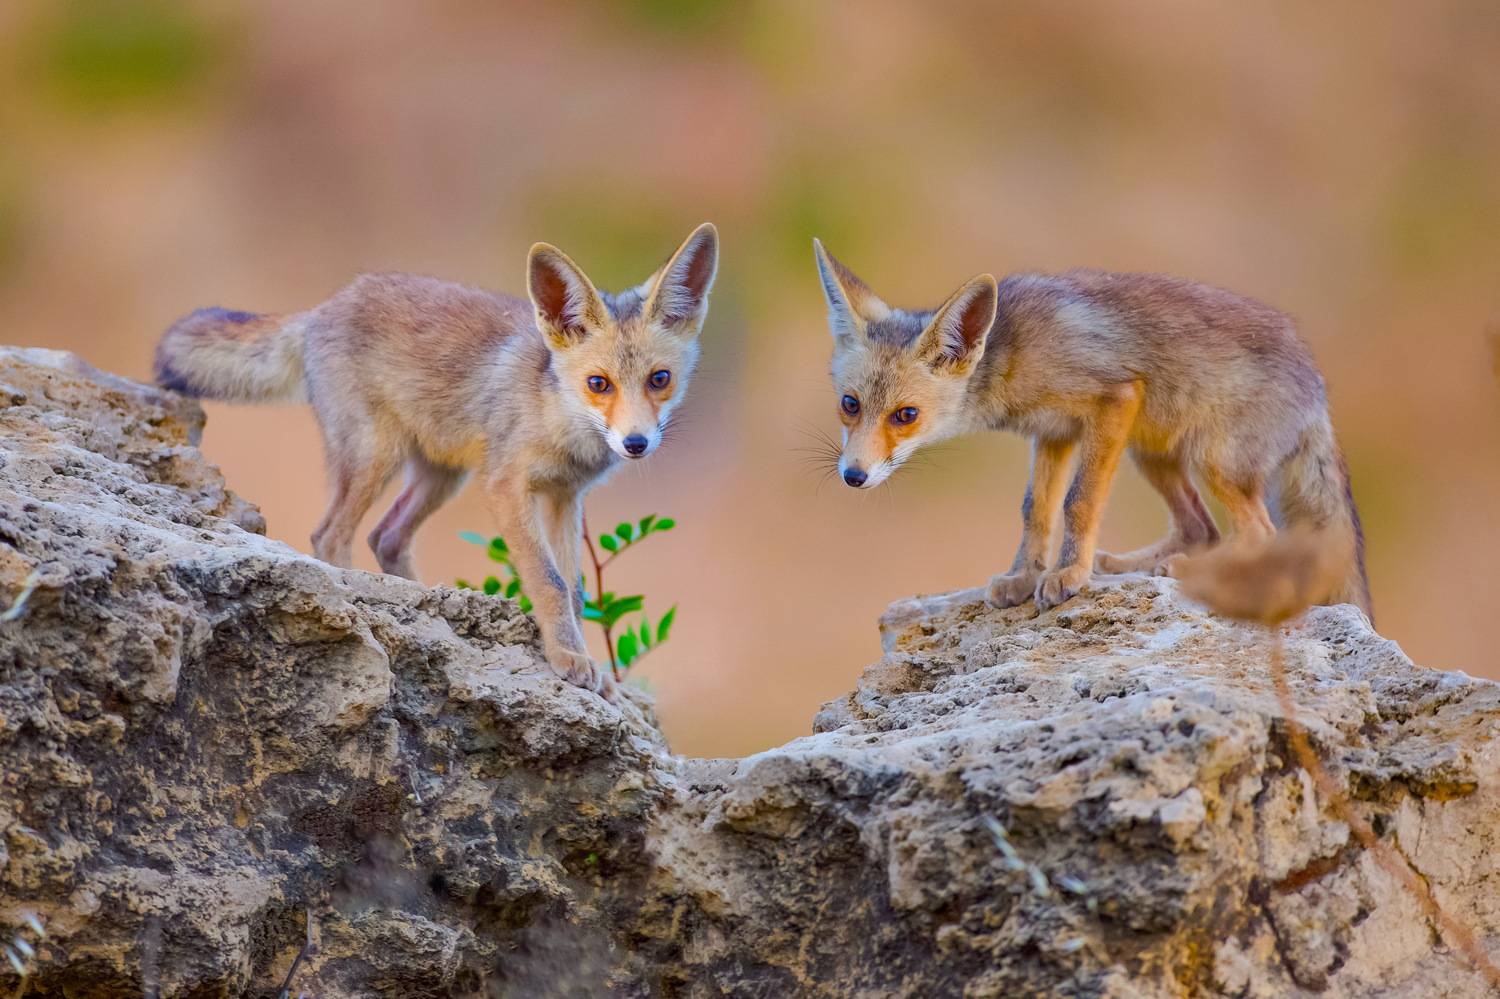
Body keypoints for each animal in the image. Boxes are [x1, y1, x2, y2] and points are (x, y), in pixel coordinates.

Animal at [154, 223, 720, 696]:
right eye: (598, 384)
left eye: (660, 379)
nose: (636, 443)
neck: (558, 416)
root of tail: (323, 307)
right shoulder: (506, 486)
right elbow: (550, 582)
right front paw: (568, 660)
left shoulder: (564, 497)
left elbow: (576, 590)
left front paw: (585, 662)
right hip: (377, 458)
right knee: (330, 534)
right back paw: (358, 607)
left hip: (440, 477)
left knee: (385, 535)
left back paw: (421, 601)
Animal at [811, 239, 1372, 619]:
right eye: (849, 404)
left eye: (905, 415)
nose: (854, 476)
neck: (1011, 352)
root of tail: (1317, 383)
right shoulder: (1054, 433)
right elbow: (1036, 510)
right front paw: (1024, 576)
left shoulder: (1112, 401)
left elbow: (1078, 502)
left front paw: (1068, 575)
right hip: (1153, 454)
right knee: (1201, 529)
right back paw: (1133, 564)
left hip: (1214, 463)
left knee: (1259, 534)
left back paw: (1188, 572)